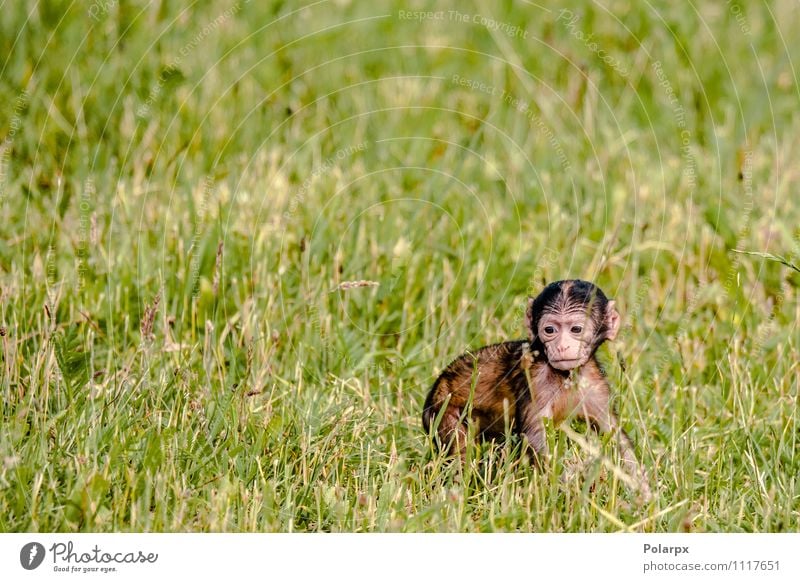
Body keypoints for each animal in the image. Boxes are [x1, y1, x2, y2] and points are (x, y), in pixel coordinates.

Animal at [424, 280, 648, 500]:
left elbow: (614, 434)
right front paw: (570, 491)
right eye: (549, 330)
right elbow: (536, 437)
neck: (565, 376)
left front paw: (644, 493)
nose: (562, 347)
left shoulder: (595, 385)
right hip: (443, 412)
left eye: (576, 329)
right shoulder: (536, 381)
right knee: (460, 452)